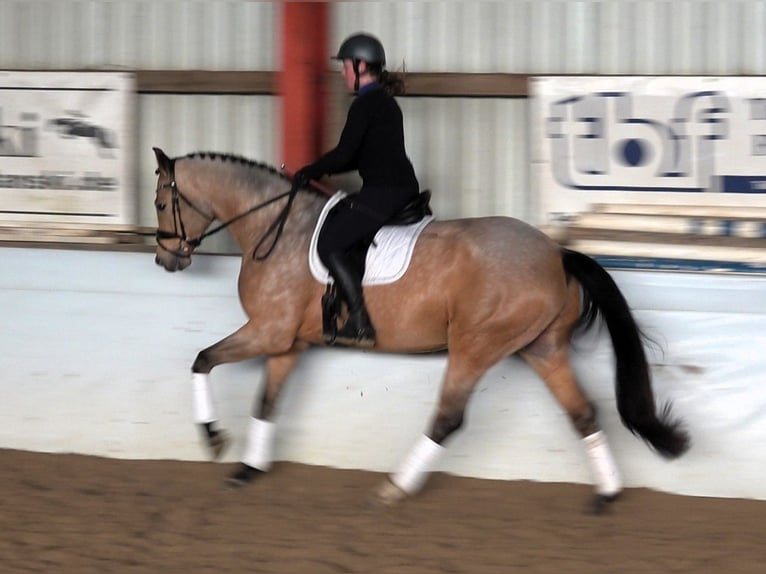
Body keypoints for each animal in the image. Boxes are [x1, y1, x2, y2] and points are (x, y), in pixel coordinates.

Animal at [150, 147, 688, 512]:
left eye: (158, 201)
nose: (166, 260)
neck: (276, 229)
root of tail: (557, 253)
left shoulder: (267, 331)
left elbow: (202, 359)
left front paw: (213, 440)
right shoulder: (288, 342)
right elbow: (266, 402)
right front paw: (248, 468)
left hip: (476, 344)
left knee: (448, 417)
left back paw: (395, 486)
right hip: (543, 348)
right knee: (583, 413)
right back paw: (607, 492)